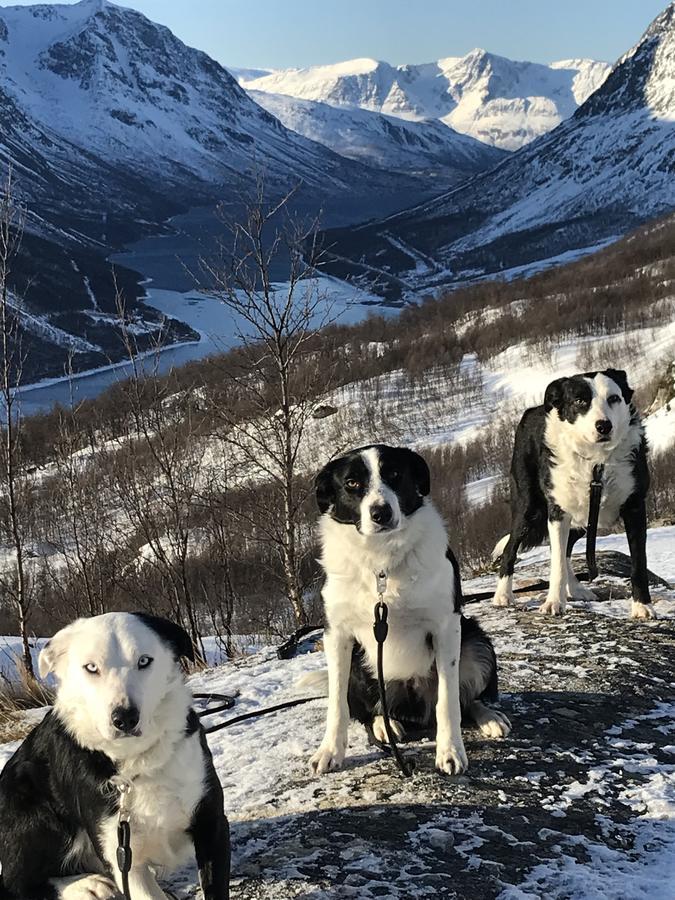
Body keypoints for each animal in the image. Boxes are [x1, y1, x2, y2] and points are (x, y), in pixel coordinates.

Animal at [0, 612, 230, 900]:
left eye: (144, 661)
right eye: (91, 668)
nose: (125, 718)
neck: (137, 760)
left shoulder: (211, 824)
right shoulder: (120, 855)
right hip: (36, 813)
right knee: (17, 884)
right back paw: (85, 885)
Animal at [308, 446, 510, 776]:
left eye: (394, 474)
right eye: (351, 483)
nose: (381, 513)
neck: (381, 563)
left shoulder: (447, 626)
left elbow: (448, 700)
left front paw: (450, 750)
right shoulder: (336, 634)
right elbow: (337, 704)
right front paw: (329, 751)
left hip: (476, 641)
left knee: (464, 698)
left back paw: (489, 716)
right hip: (360, 667)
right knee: (371, 710)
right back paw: (384, 724)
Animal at [492, 368, 656, 620]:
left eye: (614, 398)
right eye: (580, 401)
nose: (604, 426)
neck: (596, 463)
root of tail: (533, 410)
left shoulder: (634, 507)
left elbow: (639, 563)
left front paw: (642, 606)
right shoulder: (557, 511)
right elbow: (557, 563)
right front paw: (553, 602)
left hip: (586, 518)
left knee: (566, 547)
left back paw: (576, 588)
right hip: (528, 508)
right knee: (513, 547)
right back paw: (503, 594)